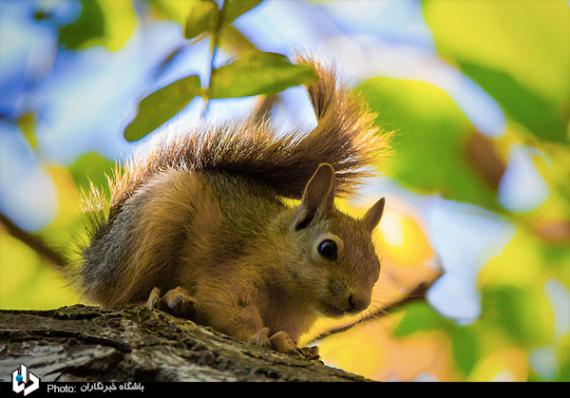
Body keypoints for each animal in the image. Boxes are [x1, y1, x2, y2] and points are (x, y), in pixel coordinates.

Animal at [74, 57, 386, 360]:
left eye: (377, 267)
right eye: (327, 248)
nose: (359, 302)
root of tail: (95, 260)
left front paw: (292, 345)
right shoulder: (233, 272)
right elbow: (223, 305)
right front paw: (259, 336)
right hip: (148, 233)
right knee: (118, 296)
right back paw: (162, 298)